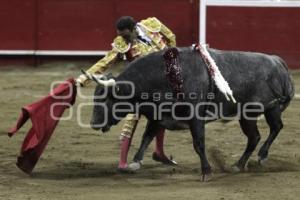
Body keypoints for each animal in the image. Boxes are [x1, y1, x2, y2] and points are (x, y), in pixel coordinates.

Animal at [90, 47, 294, 180]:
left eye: (107, 99)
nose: (93, 123)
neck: (167, 75)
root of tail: (278, 62)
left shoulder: (196, 118)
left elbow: (199, 144)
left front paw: (206, 171)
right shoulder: (158, 116)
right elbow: (146, 137)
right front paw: (135, 163)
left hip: (267, 109)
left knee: (274, 128)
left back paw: (261, 156)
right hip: (248, 115)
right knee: (255, 136)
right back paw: (238, 165)